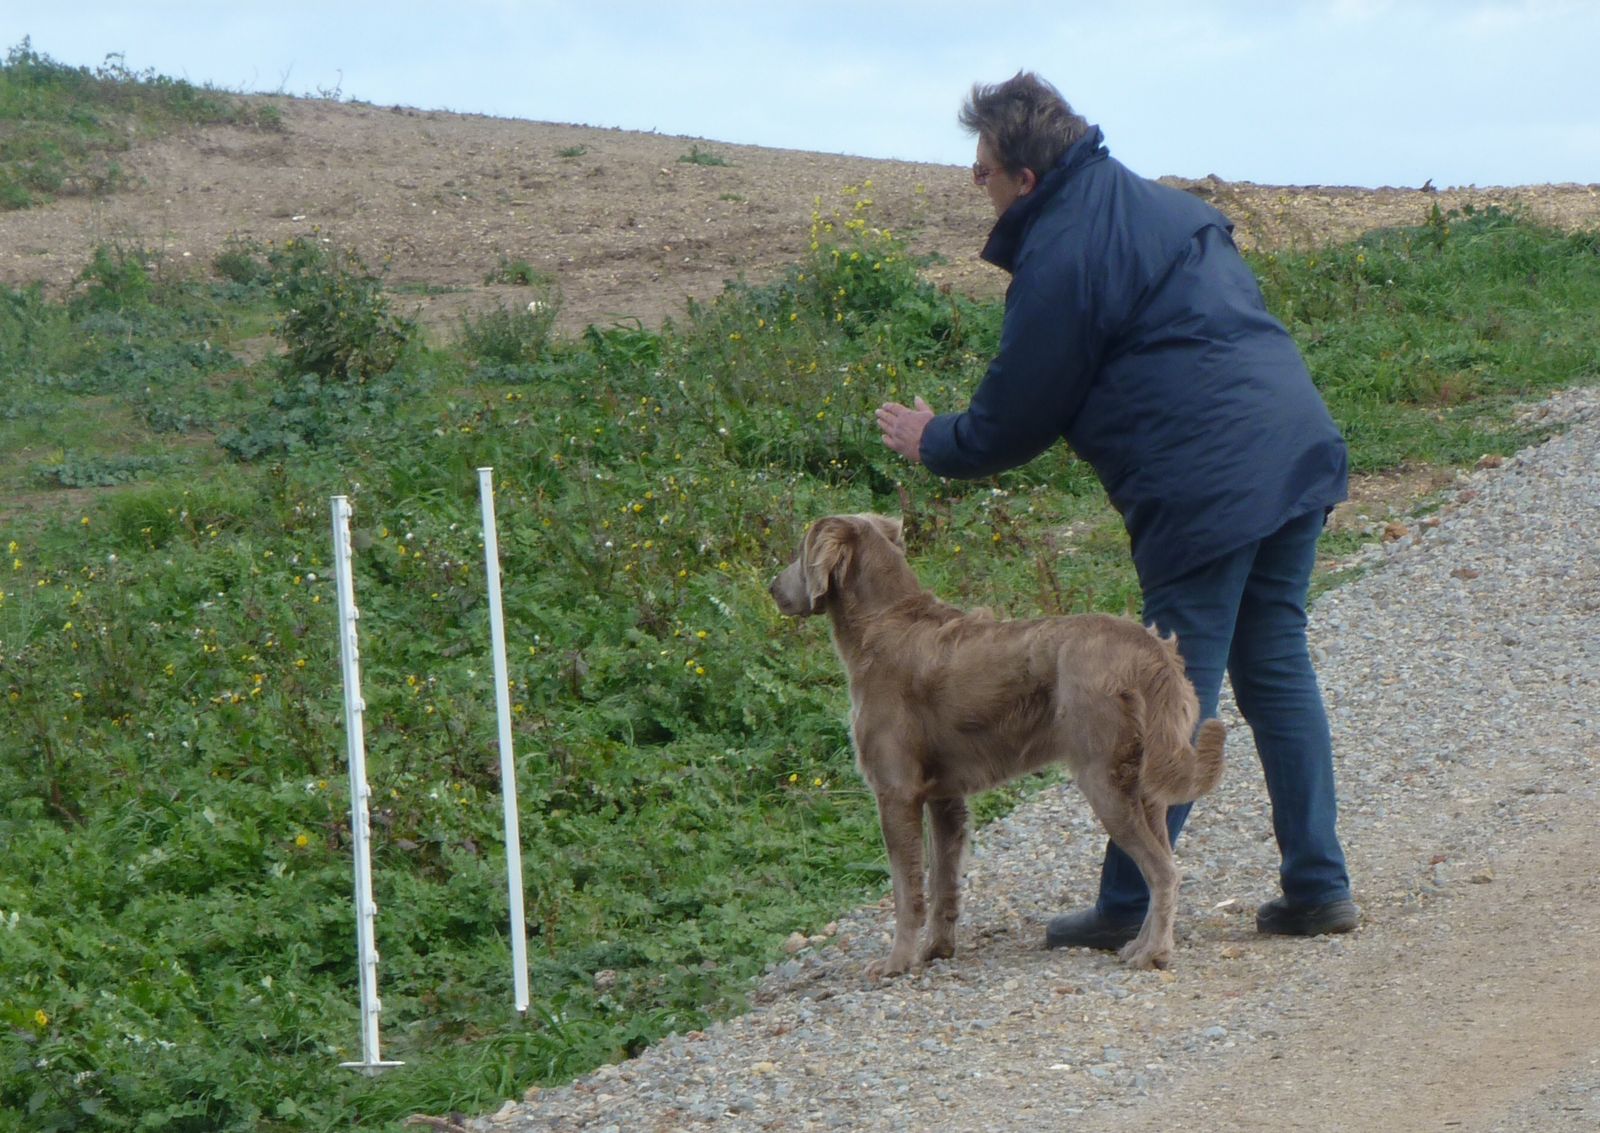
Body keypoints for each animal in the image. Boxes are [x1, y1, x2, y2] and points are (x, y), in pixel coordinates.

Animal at [769, 514, 1225, 975]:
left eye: (799, 552)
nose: (772, 587)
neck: (884, 622)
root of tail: (1151, 649)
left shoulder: (895, 792)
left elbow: (906, 891)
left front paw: (895, 963)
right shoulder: (945, 798)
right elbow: (943, 882)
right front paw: (937, 949)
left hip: (1104, 779)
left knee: (1164, 871)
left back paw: (1154, 952)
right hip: (1145, 782)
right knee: (1161, 862)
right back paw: (1139, 945)